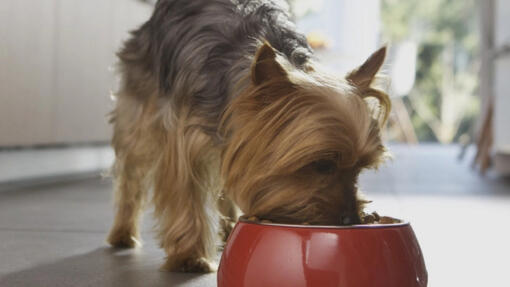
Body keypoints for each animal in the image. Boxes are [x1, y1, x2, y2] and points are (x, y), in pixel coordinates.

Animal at [106, 0, 390, 274]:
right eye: (322, 165)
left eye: (359, 169)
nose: (352, 220)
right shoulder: (183, 137)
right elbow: (186, 192)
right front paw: (190, 256)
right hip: (140, 109)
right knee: (131, 171)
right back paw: (123, 232)